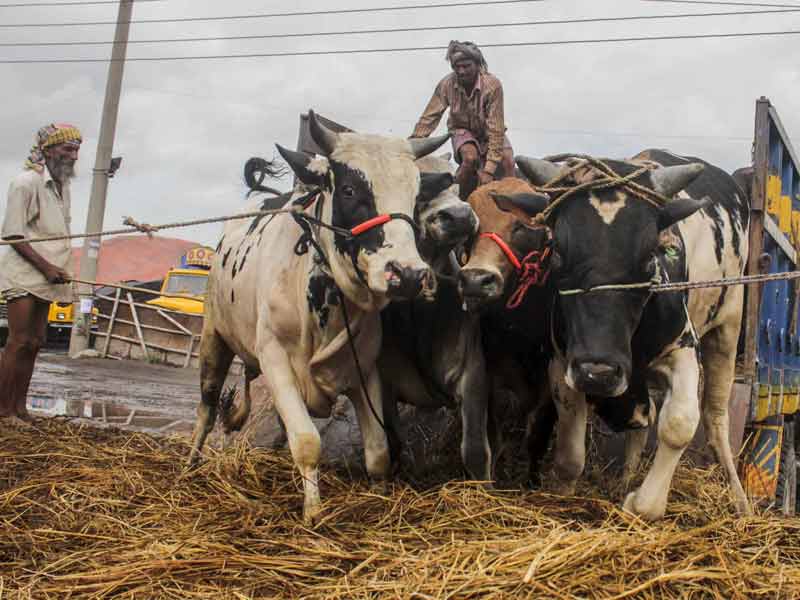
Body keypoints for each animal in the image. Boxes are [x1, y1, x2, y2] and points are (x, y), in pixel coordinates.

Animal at [185, 112, 454, 524]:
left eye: (415, 196)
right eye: (349, 190)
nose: (408, 274)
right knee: (207, 409)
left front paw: (378, 495)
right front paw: (313, 510)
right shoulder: (275, 358)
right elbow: (308, 440)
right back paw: (189, 465)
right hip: (214, 339)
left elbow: (377, 449)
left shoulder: (365, 369)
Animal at [504, 151, 752, 520]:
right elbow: (571, 451)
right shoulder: (564, 363)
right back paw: (626, 476)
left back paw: (739, 499)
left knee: (716, 419)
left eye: (651, 254)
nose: (600, 372)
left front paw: (642, 502)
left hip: (727, 327)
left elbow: (680, 423)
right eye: (557, 250)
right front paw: (564, 492)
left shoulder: (683, 348)